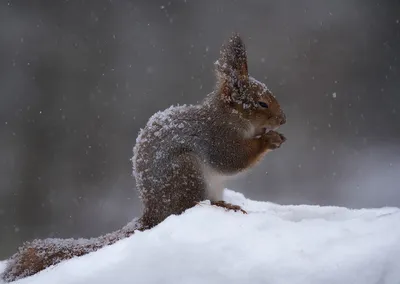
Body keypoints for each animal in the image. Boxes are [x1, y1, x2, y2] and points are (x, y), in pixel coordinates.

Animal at [1, 33, 286, 282]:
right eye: (262, 103)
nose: (283, 119)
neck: (231, 118)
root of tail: (153, 214)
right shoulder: (217, 139)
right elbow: (234, 159)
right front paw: (269, 140)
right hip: (186, 173)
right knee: (190, 205)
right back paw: (222, 206)